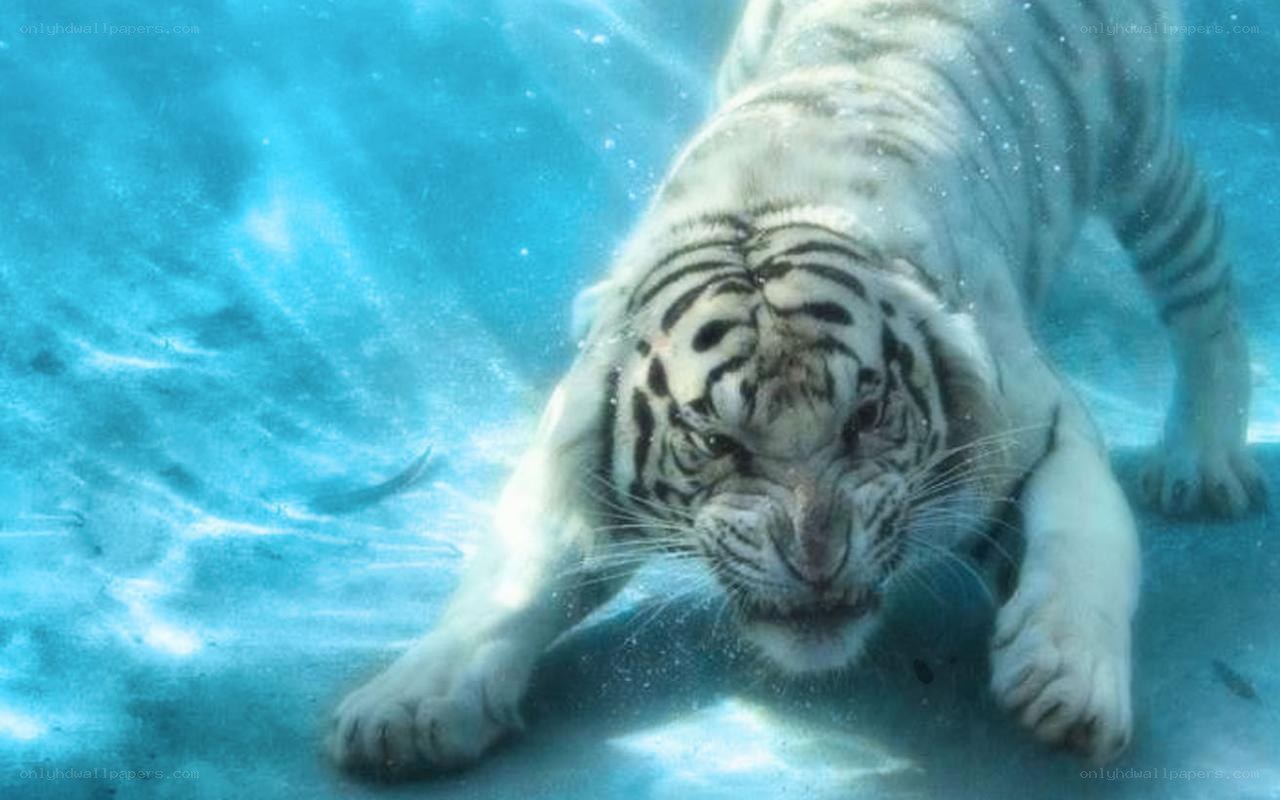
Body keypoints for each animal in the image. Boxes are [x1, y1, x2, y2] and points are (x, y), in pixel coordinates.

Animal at [329, 0, 1264, 774]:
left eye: (868, 415)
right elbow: (509, 579)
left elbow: (1084, 541)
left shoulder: (1041, 420)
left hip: (1142, 150)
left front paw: (1069, 680)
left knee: (1201, 283)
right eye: (716, 443)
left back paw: (1204, 463)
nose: (817, 559)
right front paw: (410, 707)